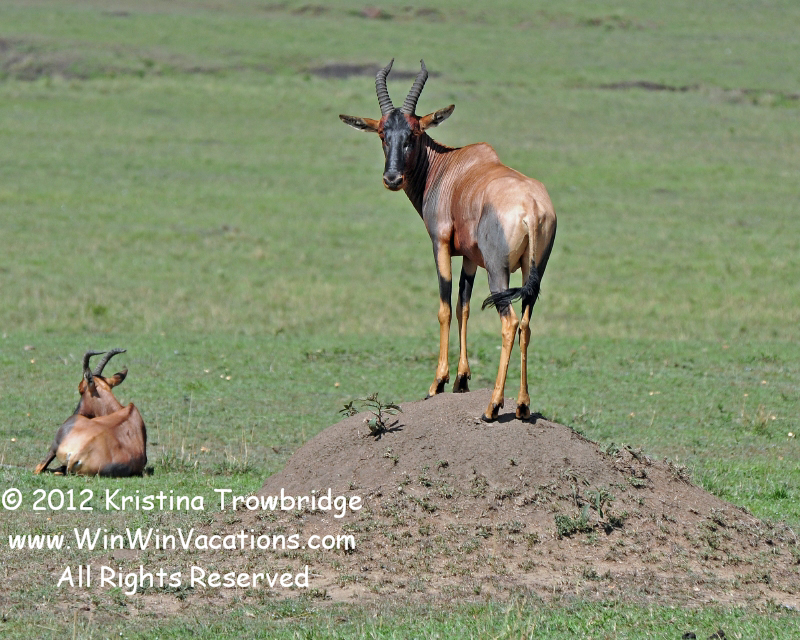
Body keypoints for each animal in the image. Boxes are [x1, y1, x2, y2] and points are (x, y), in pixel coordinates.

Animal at [340, 60, 556, 421]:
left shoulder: (440, 244)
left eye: (413, 134)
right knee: (526, 324)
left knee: (510, 323)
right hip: (532, 273)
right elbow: (463, 306)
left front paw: (438, 382)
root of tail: (531, 207)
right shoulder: (469, 257)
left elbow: (443, 306)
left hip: (498, 271)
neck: (451, 168)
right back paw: (523, 405)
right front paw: (461, 379)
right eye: (383, 133)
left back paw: (492, 407)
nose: (392, 178)